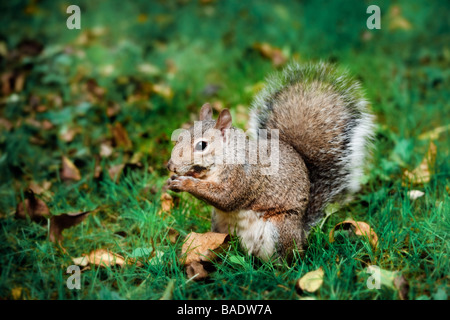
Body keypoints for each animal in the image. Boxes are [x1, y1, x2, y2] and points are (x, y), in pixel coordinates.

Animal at [167, 62, 374, 260]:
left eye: (202, 145)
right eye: (180, 136)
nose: (170, 165)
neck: (224, 157)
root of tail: (301, 233)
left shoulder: (243, 177)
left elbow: (226, 198)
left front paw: (185, 183)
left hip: (279, 229)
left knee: (287, 259)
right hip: (220, 225)